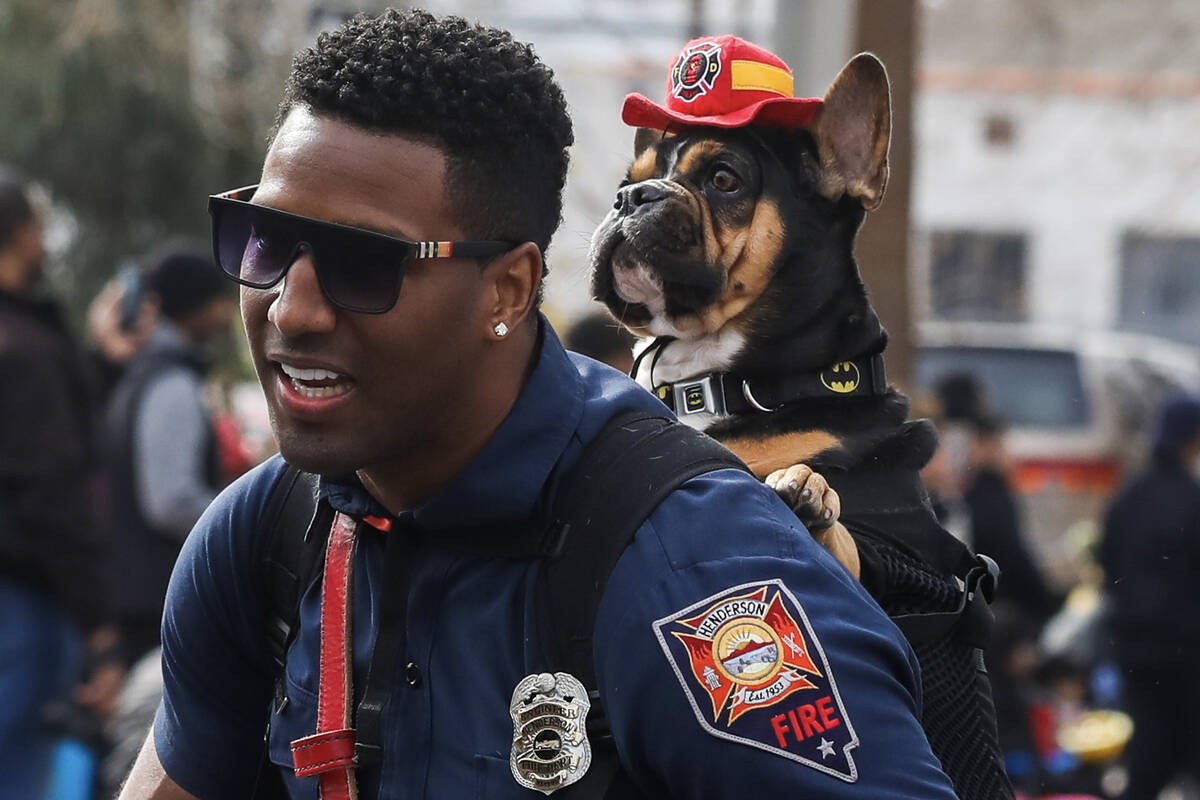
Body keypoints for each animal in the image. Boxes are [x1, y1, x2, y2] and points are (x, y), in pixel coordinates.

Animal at [590, 35, 1012, 800]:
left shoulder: (896, 571)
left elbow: (839, 545)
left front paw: (809, 495)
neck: (725, 384)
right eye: (629, 178)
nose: (631, 197)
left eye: (724, 179)